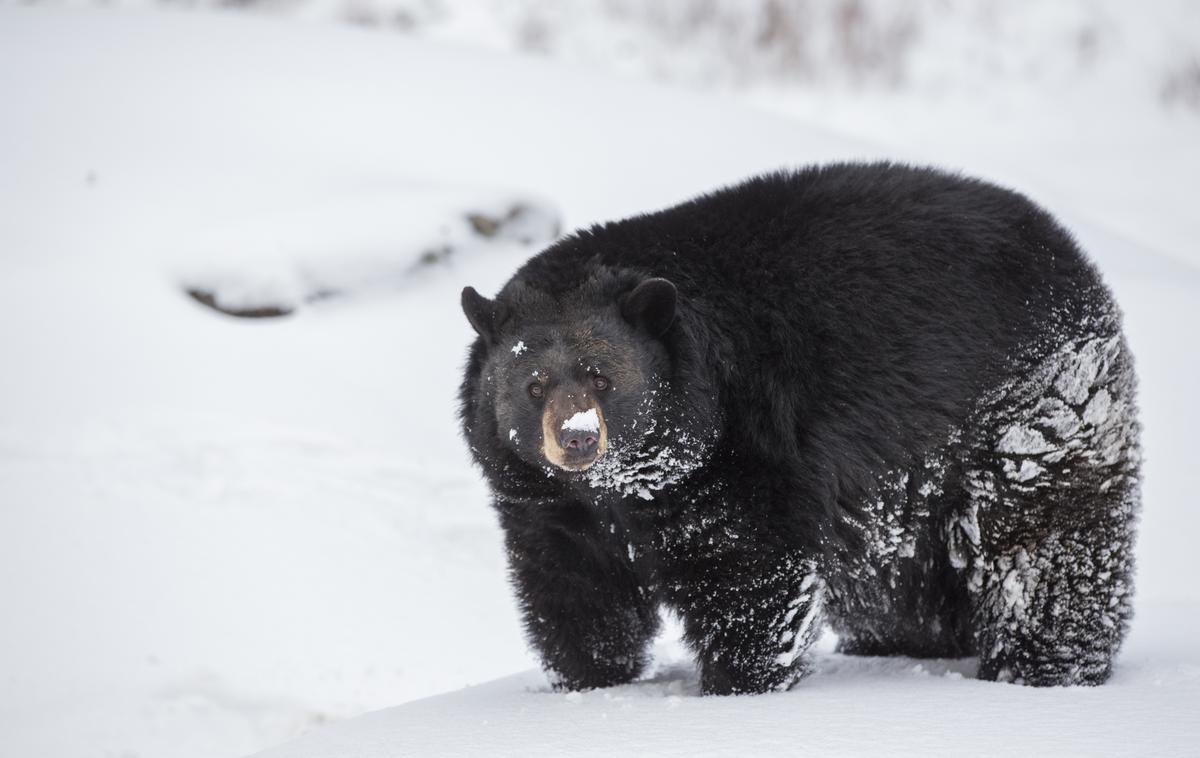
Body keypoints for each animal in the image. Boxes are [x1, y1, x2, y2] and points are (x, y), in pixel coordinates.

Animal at [453, 163, 1137, 695]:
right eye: (533, 385)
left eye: (602, 378)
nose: (576, 439)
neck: (630, 484)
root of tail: (1068, 249)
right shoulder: (550, 505)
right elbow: (574, 591)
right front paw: (591, 683)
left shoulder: (746, 448)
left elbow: (748, 572)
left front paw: (738, 684)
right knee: (897, 585)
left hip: (1031, 404)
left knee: (1041, 543)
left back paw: (1045, 666)